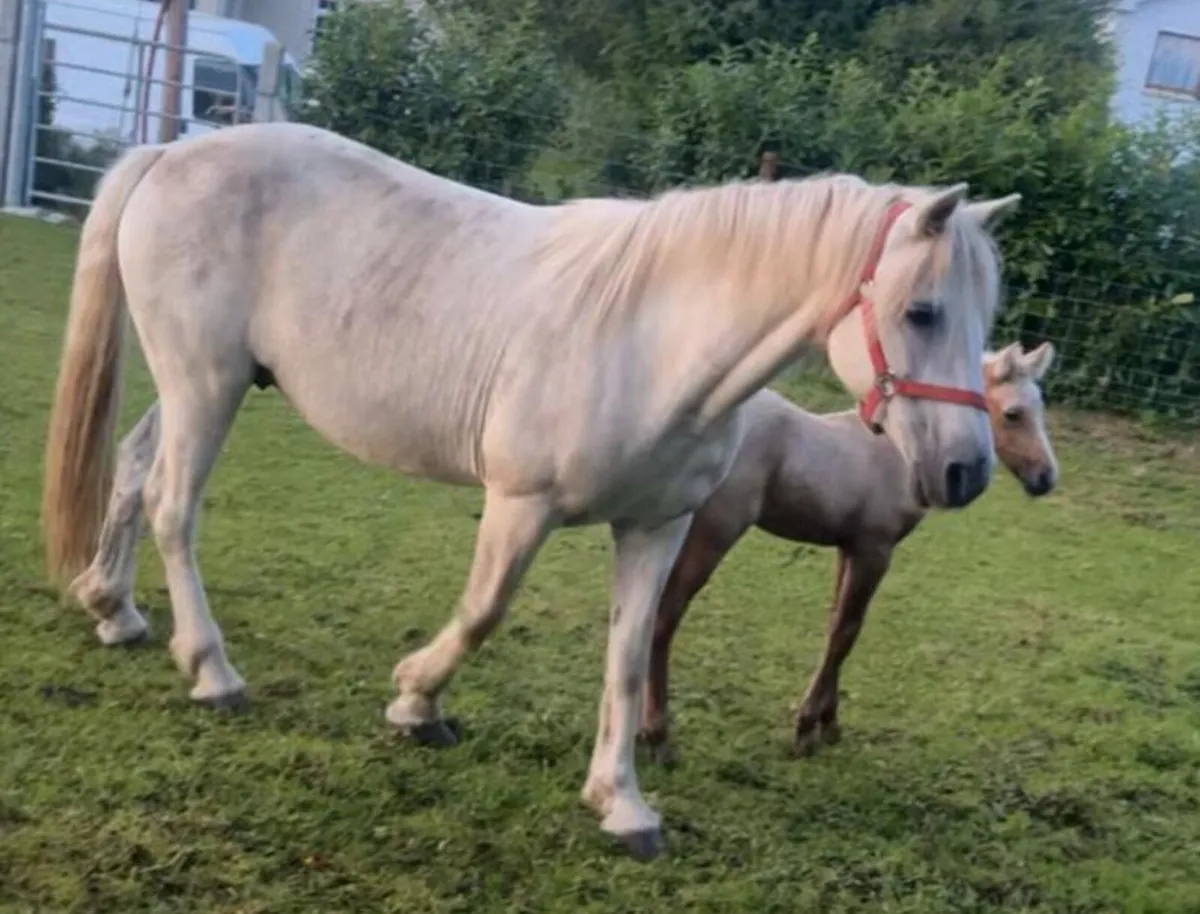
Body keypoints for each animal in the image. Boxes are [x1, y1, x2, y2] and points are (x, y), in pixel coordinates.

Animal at [640, 341, 1059, 764]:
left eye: (1040, 407)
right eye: (1013, 414)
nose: (1045, 478)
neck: (899, 453)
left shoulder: (848, 547)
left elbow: (835, 625)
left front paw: (828, 723)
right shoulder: (875, 549)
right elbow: (848, 630)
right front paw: (807, 727)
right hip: (716, 529)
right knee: (665, 614)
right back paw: (658, 737)